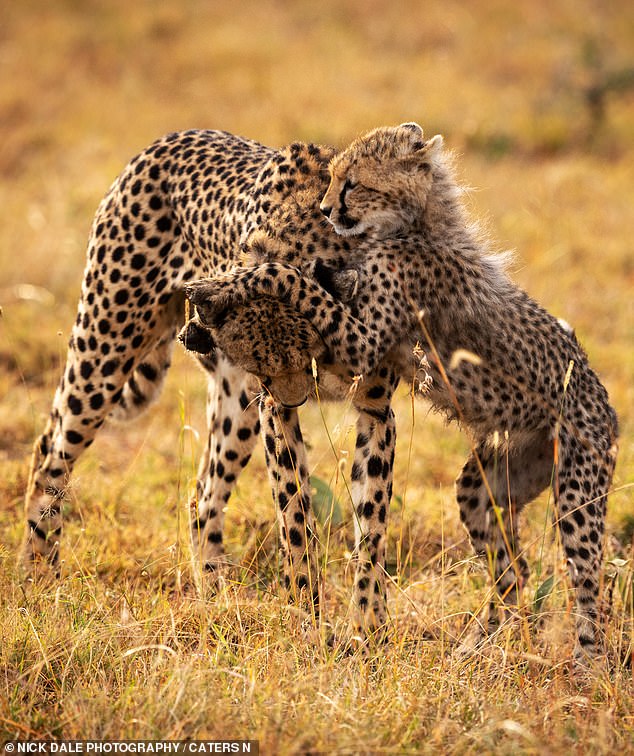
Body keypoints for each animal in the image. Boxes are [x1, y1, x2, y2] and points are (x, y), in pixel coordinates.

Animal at [184, 121, 616, 660]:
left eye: (351, 183)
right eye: (331, 177)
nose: (326, 209)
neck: (416, 224)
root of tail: (606, 404)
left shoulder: (362, 340)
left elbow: (289, 278)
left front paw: (237, 281)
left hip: (577, 487)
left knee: (589, 580)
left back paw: (586, 662)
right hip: (491, 482)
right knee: (514, 569)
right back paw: (475, 648)